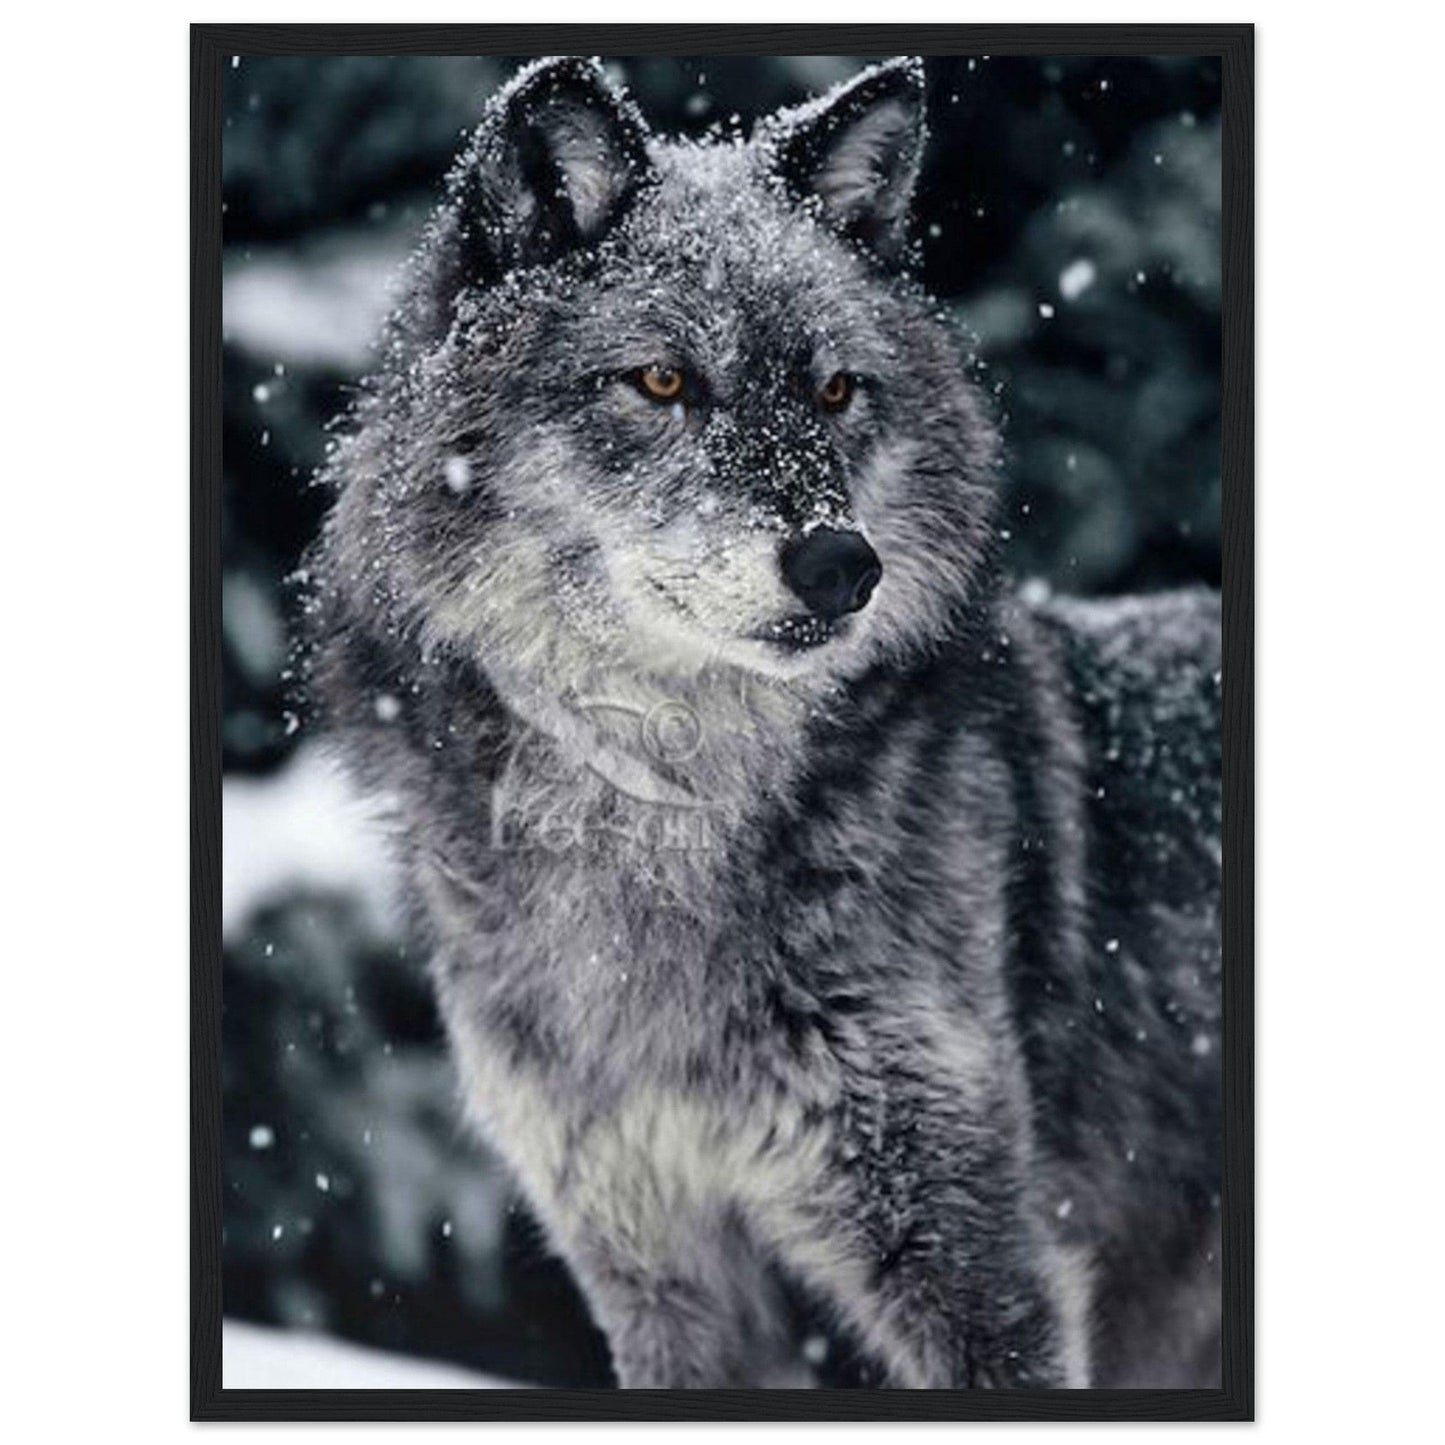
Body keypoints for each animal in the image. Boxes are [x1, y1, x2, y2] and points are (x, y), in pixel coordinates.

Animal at [307, 56, 1222, 1389]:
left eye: (836, 390)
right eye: (663, 380)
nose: (844, 566)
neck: (656, 813)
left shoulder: (985, 1265)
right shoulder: (659, 1275)